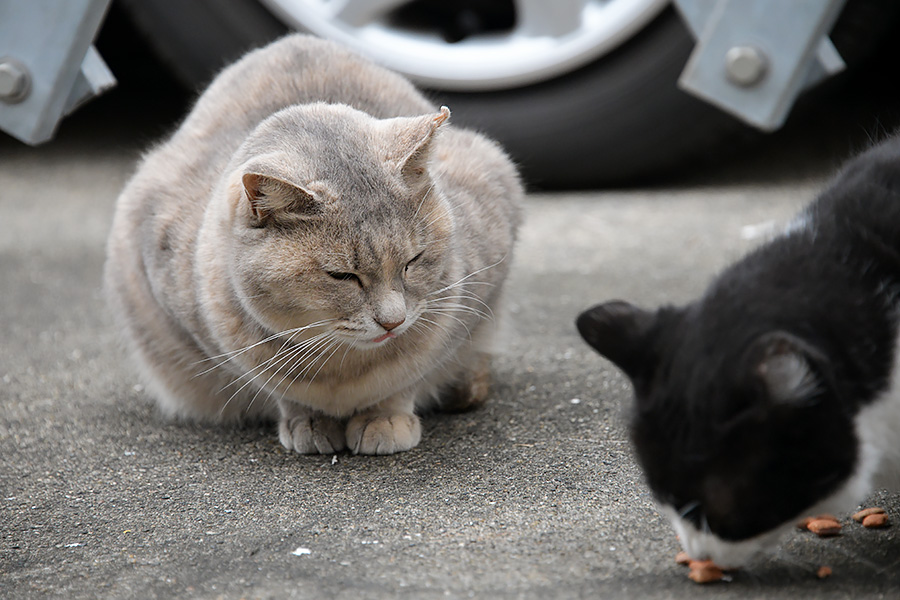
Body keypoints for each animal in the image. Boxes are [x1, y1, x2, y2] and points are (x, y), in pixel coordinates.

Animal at [103, 34, 524, 454]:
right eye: (342, 276)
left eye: (414, 260)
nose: (393, 321)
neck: (343, 366)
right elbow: (280, 387)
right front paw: (307, 420)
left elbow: (409, 374)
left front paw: (384, 417)